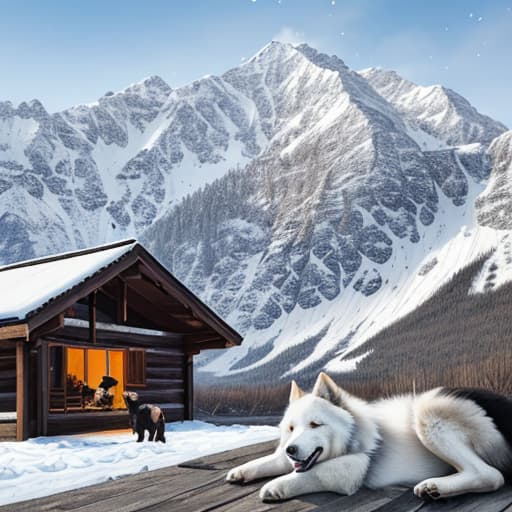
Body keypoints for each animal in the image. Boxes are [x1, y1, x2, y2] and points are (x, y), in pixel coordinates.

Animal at [226, 372, 510, 500]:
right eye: (291, 428)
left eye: (315, 425)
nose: (291, 450)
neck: (353, 431)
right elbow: (268, 461)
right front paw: (241, 470)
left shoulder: (351, 468)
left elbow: (310, 474)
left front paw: (276, 486)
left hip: (427, 409)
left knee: (491, 475)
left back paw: (436, 486)